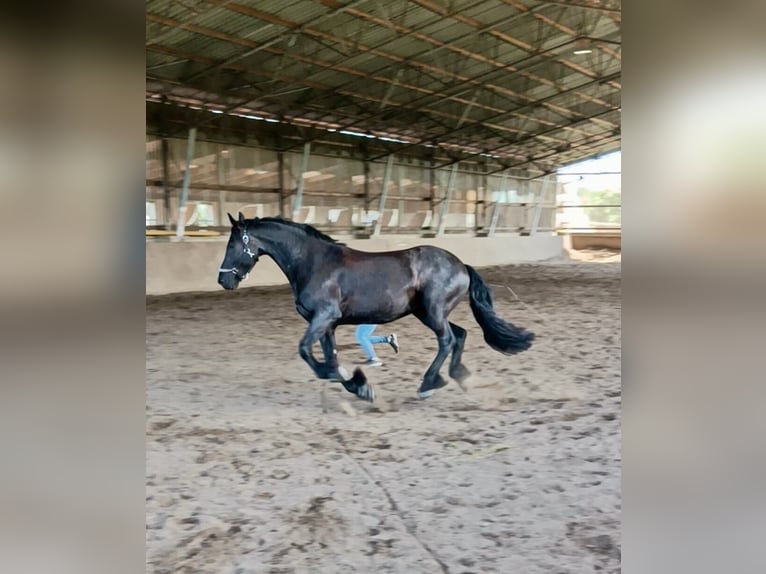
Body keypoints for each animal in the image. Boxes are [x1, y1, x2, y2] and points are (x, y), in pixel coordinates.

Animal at [217, 213, 534, 402]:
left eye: (232, 245)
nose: (223, 280)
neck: (314, 263)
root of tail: (461, 265)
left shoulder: (324, 317)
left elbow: (306, 351)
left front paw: (356, 384)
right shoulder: (327, 324)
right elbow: (330, 358)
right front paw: (357, 385)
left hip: (433, 312)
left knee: (447, 340)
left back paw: (428, 384)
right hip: (427, 312)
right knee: (461, 334)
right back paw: (458, 376)